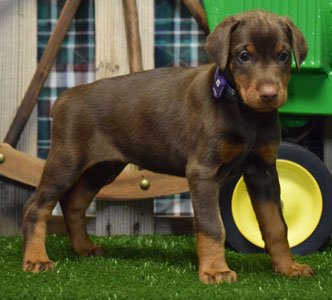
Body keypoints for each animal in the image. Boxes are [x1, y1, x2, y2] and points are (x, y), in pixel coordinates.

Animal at [22, 10, 312, 284]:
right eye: (243, 55)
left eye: (283, 55)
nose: (269, 95)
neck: (243, 112)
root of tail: (63, 97)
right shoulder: (203, 172)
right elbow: (212, 226)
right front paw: (215, 270)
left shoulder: (263, 171)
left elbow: (276, 225)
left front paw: (288, 267)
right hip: (66, 160)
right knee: (37, 205)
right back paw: (36, 259)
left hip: (103, 168)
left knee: (74, 203)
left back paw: (84, 248)